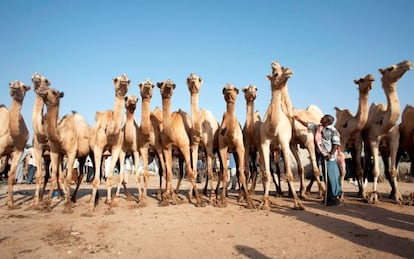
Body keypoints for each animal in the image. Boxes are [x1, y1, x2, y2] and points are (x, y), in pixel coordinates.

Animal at [85, 73, 129, 215]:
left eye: (129, 81)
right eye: (116, 79)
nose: (124, 78)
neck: (110, 131)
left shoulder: (116, 149)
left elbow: (109, 177)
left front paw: (109, 206)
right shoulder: (98, 148)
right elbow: (96, 178)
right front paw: (90, 208)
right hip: (92, 153)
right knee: (96, 173)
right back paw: (93, 200)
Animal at [156, 78, 205, 207]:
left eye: (172, 85)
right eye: (162, 84)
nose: (168, 86)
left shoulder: (185, 147)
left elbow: (191, 172)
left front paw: (199, 202)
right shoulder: (167, 148)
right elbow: (168, 173)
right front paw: (167, 200)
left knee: (194, 171)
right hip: (179, 156)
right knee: (180, 173)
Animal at [186, 73, 220, 201]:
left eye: (199, 79)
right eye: (188, 79)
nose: (193, 79)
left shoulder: (209, 145)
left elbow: (210, 172)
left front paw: (212, 197)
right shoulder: (195, 145)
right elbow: (194, 170)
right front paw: (191, 195)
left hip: (216, 149)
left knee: (218, 170)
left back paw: (215, 193)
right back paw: (206, 191)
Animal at [258, 61, 304, 211]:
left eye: (283, 67)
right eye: (275, 74)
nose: (289, 71)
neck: (273, 127)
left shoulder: (284, 142)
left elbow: (289, 174)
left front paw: (297, 203)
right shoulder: (264, 144)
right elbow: (267, 174)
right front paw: (264, 202)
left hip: (290, 146)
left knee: (296, 167)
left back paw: (295, 194)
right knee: (274, 170)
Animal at [360, 60, 412, 204]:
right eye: (391, 68)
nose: (408, 63)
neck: (384, 124)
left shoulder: (395, 141)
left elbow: (393, 170)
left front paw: (398, 197)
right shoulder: (373, 141)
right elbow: (375, 170)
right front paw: (373, 196)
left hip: (384, 150)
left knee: (387, 169)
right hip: (366, 146)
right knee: (366, 166)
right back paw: (362, 194)